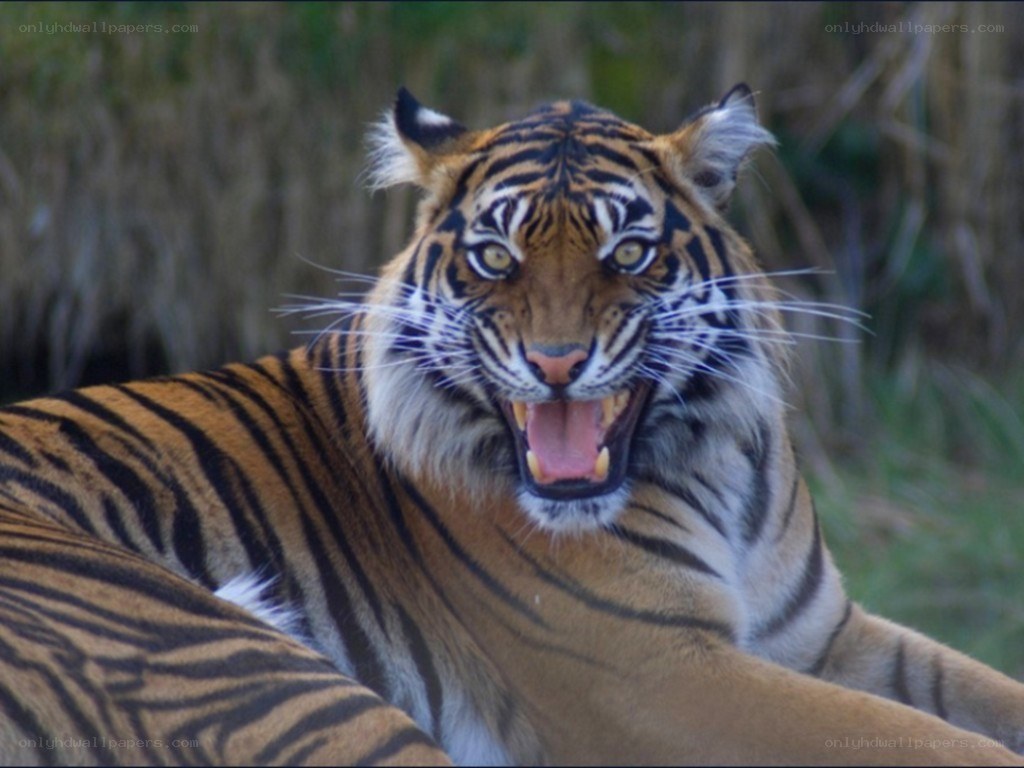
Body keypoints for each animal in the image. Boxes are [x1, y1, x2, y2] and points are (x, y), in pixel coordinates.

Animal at [1, 84, 1022, 766]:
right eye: (496, 258)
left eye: (627, 252)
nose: (557, 363)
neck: (713, 461)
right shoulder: (659, 673)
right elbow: (934, 742)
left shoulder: (819, 636)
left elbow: (978, 694)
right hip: (246, 667)